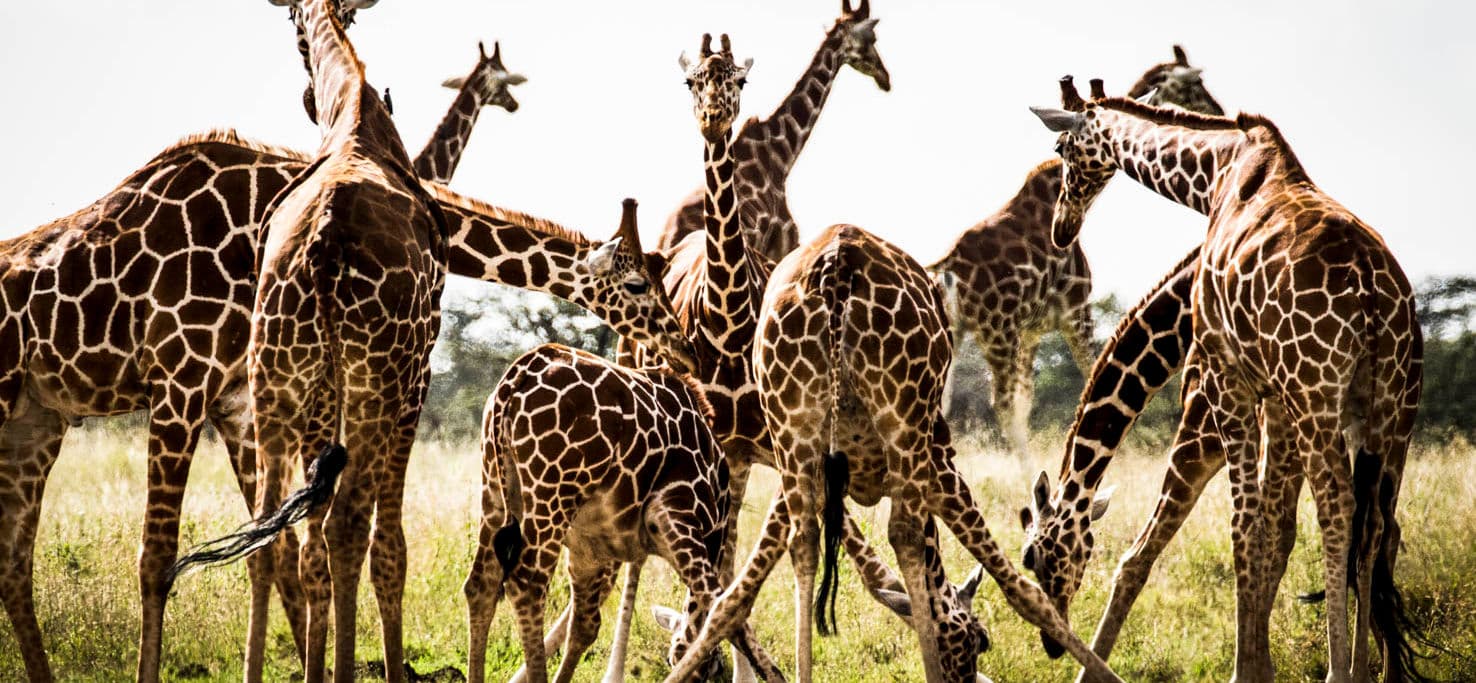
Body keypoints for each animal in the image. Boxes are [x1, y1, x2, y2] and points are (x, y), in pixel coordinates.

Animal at [463, 340, 784, 683]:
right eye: (710, 669)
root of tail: (522, 371)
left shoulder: (590, 550)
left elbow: (585, 626)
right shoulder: (676, 514)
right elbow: (727, 608)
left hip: (495, 489)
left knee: (481, 585)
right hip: (552, 493)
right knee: (527, 584)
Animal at [665, 223, 1121, 682]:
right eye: (980, 640)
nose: (965, 674)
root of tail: (837, 264)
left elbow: (738, 590)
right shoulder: (940, 462)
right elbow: (1019, 588)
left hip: (793, 426)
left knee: (804, 540)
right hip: (904, 425)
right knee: (903, 533)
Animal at [930, 45, 1223, 458]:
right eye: (1194, 84)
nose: (1216, 108)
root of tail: (947, 269)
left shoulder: (1033, 330)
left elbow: (1029, 401)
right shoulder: (1075, 310)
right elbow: (1090, 377)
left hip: (957, 330)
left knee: (946, 400)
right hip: (997, 330)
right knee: (1000, 403)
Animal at [1030, 78, 1423, 682]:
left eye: (1062, 150)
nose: (1061, 227)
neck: (1217, 171)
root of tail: (1377, 295)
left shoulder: (1225, 378)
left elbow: (1242, 527)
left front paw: (1248, 668)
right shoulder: (1272, 397)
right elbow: (1271, 531)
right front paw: (1257, 660)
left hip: (1316, 392)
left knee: (1338, 507)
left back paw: (1339, 670)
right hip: (1388, 410)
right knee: (1376, 527)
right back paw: (1370, 669)